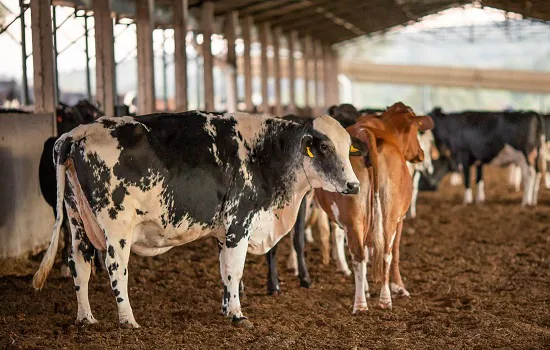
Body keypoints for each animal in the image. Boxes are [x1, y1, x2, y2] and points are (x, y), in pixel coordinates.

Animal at [316, 102, 434, 312]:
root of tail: (366, 133)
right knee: (381, 253)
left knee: (365, 254)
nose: (420, 154)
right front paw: (399, 287)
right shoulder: (400, 219)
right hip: (386, 217)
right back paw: (372, 300)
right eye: (415, 131)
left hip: (357, 218)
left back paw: (370, 301)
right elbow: (395, 252)